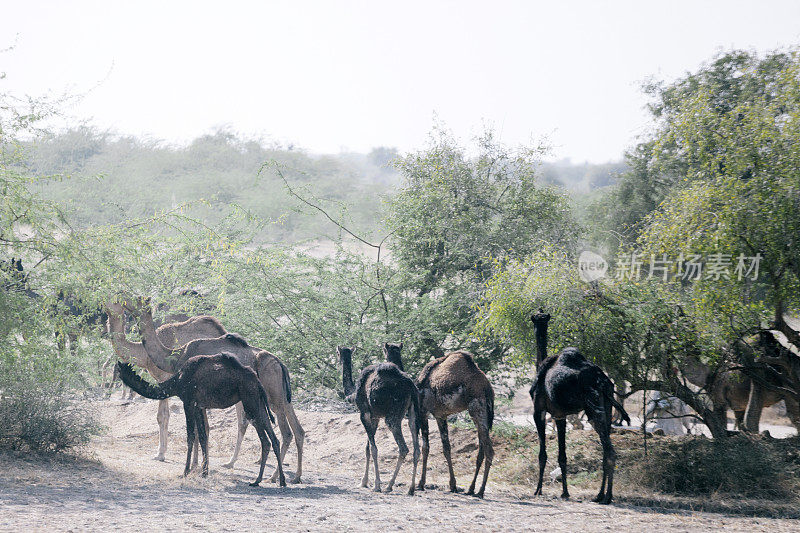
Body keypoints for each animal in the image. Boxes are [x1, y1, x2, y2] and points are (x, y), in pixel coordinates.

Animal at [115, 354, 284, 486]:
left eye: (117, 369)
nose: (114, 380)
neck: (178, 381)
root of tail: (258, 381)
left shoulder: (188, 402)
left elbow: (190, 436)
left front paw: (185, 471)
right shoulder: (199, 406)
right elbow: (202, 436)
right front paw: (204, 472)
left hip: (250, 402)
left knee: (265, 439)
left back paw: (258, 480)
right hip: (258, 402)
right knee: (273, 439)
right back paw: (278, 481)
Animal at [340, 348, 422, 492]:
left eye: (337, 353)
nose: (339, 359)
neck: (353, 394)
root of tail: (411, 386)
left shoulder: (364, 414)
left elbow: (373, 449)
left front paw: (376, 485)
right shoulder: (375, 417)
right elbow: (367, 449)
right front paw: (363, 482)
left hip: (393, 415)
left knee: (403, 448)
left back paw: (389, 486)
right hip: (413, 412)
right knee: (416, 448)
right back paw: (411, 489)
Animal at [416, 352, 496, 496]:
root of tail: (488, 388)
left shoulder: (423, 411)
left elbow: (425, 448)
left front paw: (421, 484)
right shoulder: (441, 416)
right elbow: (446, 448)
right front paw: (453, 485)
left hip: (477, 409)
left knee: (489, 451)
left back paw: (481, 491)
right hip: (483, 414)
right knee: (481, 450)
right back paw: (471, 489)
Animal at [532, 348, 632, 504]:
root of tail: (603, 383)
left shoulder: (538, 411)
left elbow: (542, 454)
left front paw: (538, 490)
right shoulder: (560, 415)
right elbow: (562, 456)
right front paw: (565, 493)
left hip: (594, 410)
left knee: (610, 452)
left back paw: (607, 497)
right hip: (605, 411)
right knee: (606, 451)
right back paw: (599, 495)